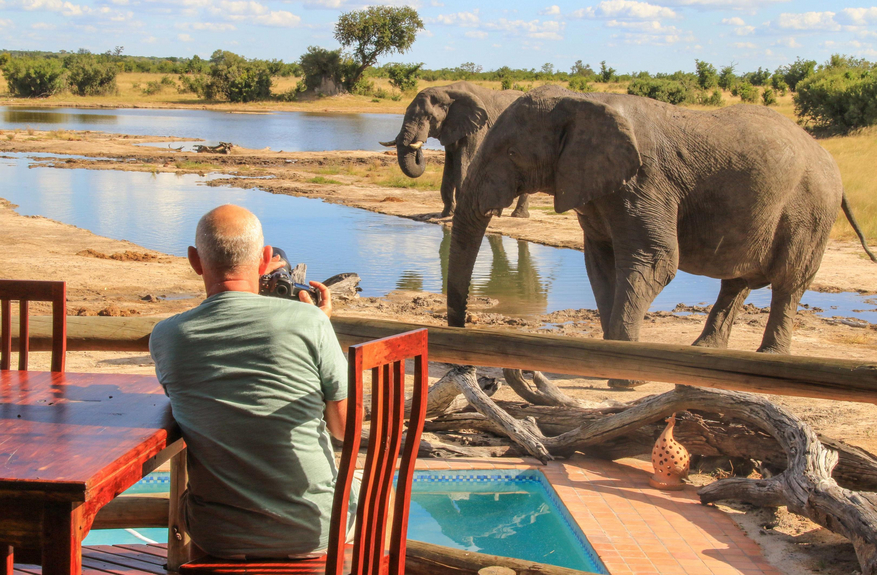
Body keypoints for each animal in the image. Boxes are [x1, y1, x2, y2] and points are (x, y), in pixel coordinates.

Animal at [378, 80, 528, 217]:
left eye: (429, 117)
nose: (420, 142)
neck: (446, 90)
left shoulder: (477, 127)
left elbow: (464, 161)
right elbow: (449, 167)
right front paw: (446, 214)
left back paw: (518, 215)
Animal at [448, 85, 872, 390]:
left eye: (512, 152)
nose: (465, 367)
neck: (584, 101)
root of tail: (828, 158)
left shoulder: (645, 183)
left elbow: (654, 261)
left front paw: (625, 379)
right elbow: (601, 265)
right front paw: (604, 364)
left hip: (810, 209)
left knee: (788, 282)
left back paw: (768, 357)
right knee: (736, 282)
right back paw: (705, 353)